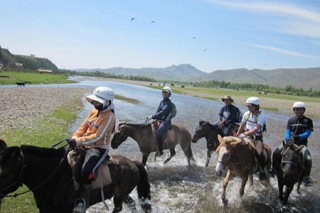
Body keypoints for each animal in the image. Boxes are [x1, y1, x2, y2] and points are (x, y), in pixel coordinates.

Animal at [0, 140, 152, 213]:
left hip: (120, 195)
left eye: (4, 174)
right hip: (123, 193)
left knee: (118, 208)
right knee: (131, 203)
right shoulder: (45, 210)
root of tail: (133, 163)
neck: (53, 177)